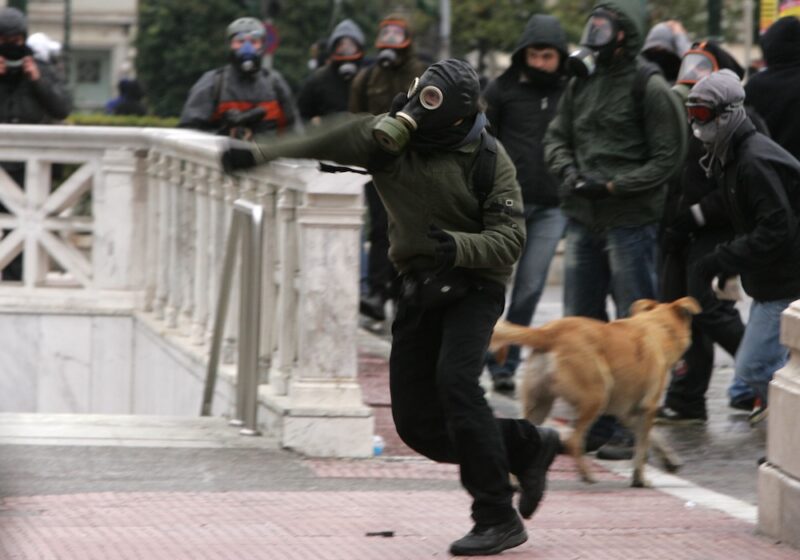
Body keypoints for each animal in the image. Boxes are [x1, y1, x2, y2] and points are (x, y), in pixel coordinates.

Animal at [488, 298, 700, 486]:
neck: (658, 327)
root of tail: (549, 332)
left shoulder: (629, 413)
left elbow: (655, 437)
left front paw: (669, 459)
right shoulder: (647, 408)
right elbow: (642, 446)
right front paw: (640, 478)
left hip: (540, 405)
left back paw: (515, 481)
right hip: (596, 397)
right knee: (573, 441)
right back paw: (587, 475)